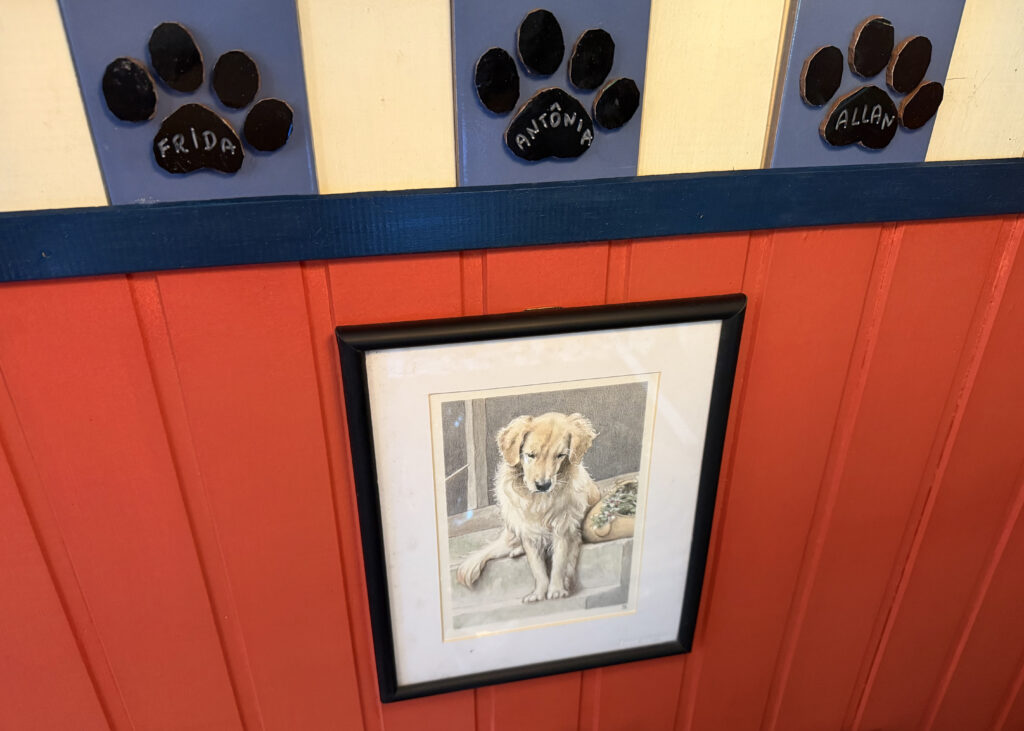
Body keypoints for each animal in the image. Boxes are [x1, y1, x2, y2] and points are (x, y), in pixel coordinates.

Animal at [456, 412, 600, 603]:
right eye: (531, 455)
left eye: (560, 455)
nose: (543, 485)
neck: (538, 501)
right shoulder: (529, 533)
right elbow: (537, 569)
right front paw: (538, 593)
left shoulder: (564, 530)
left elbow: (559, 563)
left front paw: (556, 590)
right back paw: (516, 551)